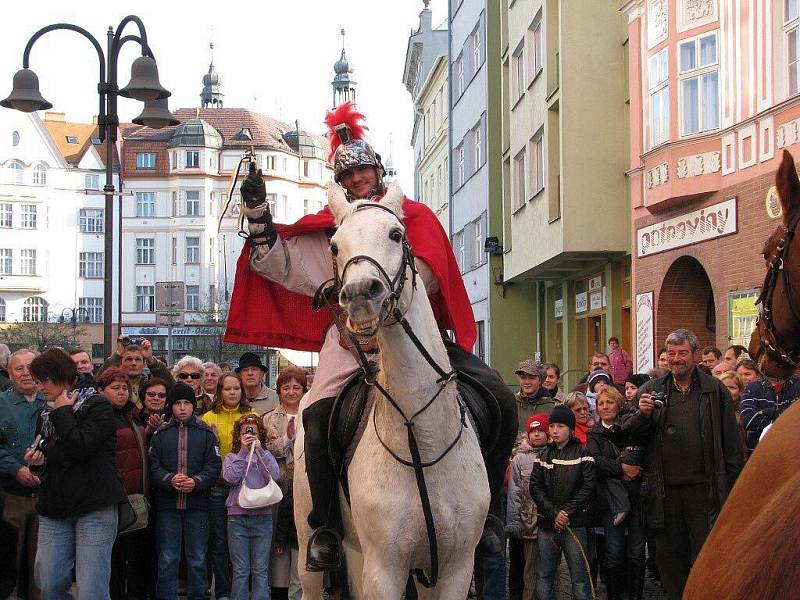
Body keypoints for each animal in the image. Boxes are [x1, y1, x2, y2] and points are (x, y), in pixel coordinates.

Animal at [294, 184, 490, 600]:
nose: (359, 295)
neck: (422, 436)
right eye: (334, 246)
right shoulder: (384, 570)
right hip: (308, 547)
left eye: (396, 235)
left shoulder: (454, 568)